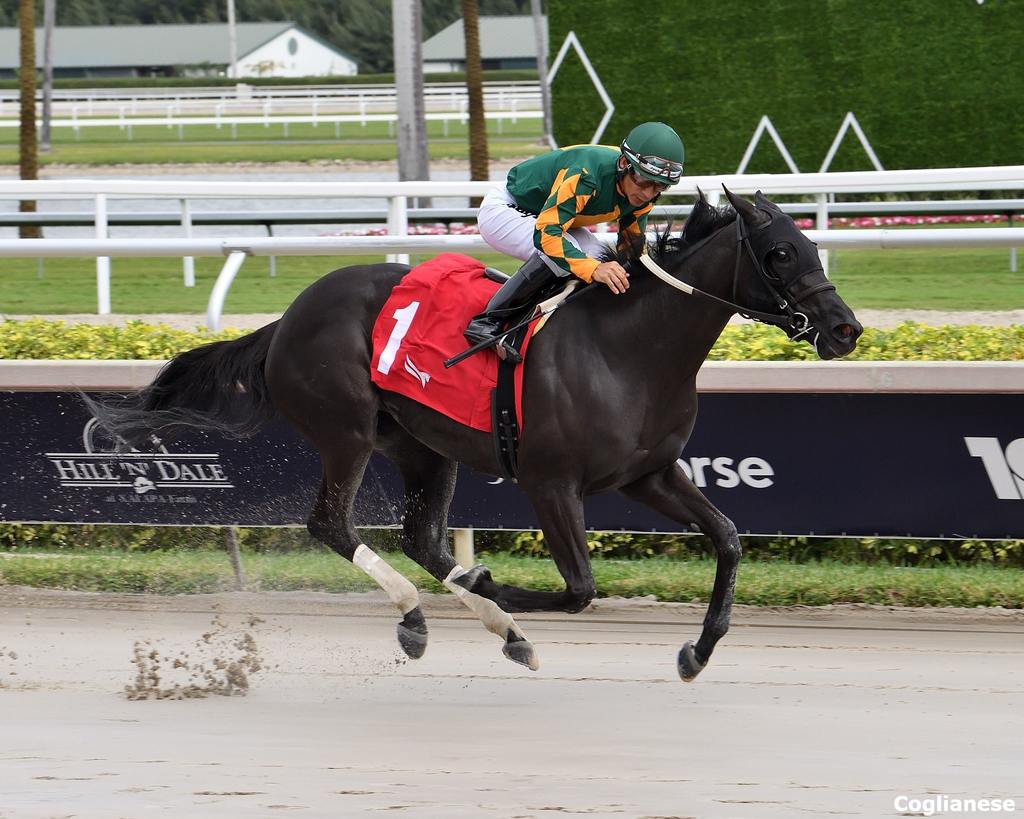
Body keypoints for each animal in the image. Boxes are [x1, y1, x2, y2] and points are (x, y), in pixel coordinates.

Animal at [88, 188, 860, 679]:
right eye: (781, 254)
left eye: (812, 246)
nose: (846, 328)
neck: (630, 350)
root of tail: (288, 318)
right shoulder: (551, 483)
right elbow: (579, 588)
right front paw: (493, 581)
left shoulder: (648, 473)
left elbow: (727, 539)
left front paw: (696, 653)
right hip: (346, 431)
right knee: (331, 524)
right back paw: (422, 614)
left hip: (423, 447)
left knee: (422, 539)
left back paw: (498, 630)